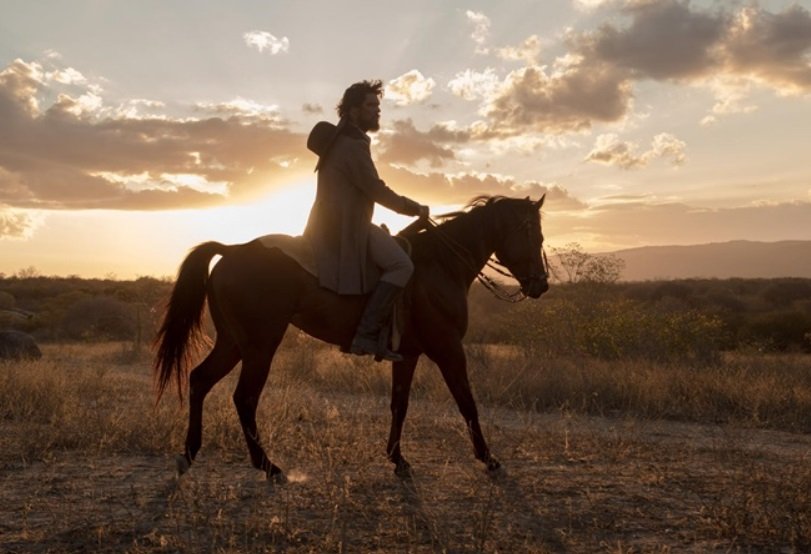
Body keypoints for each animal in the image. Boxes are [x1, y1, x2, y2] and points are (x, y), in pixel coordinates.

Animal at [155, 193, 548, 474]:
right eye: (532, 233)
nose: (541, 285)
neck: (441, 265)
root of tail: (232, 250)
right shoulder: (449, 350)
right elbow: (467, 402)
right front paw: (488, 458)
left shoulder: (408, 355)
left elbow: (400, 404)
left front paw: (398, 459)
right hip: (260, 346)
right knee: (244, 398)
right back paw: (268, 466)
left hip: (233, 343)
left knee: (200, 380)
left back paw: (189, 453)